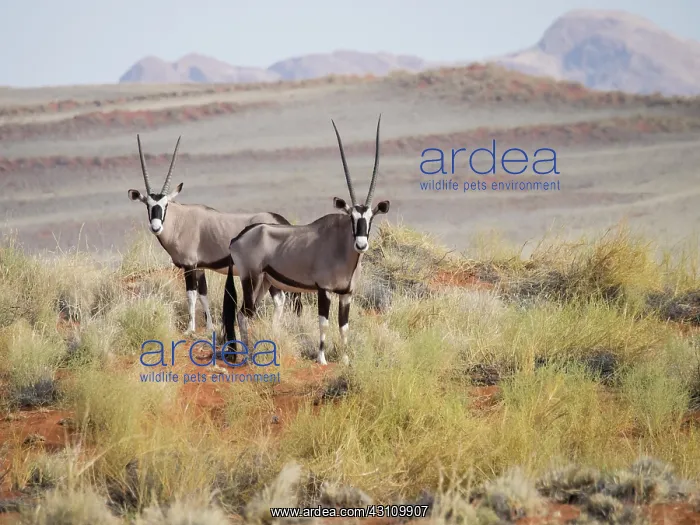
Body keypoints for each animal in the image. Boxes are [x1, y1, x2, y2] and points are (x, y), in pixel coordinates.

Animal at [127, 134, 302, 340]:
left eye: (165, 204)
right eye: (148, 205)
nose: (156, 227)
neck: (179, 220)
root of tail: (281, 221)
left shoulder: (189, 266)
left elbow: (191, 295)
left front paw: (190, 328)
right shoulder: (200, 267)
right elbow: (204, 294)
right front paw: (210, 326)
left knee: (280, 299)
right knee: (280, 298)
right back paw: (275, 329)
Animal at [225, 115, 390, 365]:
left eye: (370, 218)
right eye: (351, 217)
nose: (361, 245)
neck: (341, 248)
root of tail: (238, 237)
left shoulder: (346, 294)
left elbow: (344, 327)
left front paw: (345, 359)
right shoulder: (324, 290)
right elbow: (324, 323)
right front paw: (322, 358)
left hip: (264, 282)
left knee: (246, 313)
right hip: (250, 279)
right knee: (244, 314)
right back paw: (247, 354)